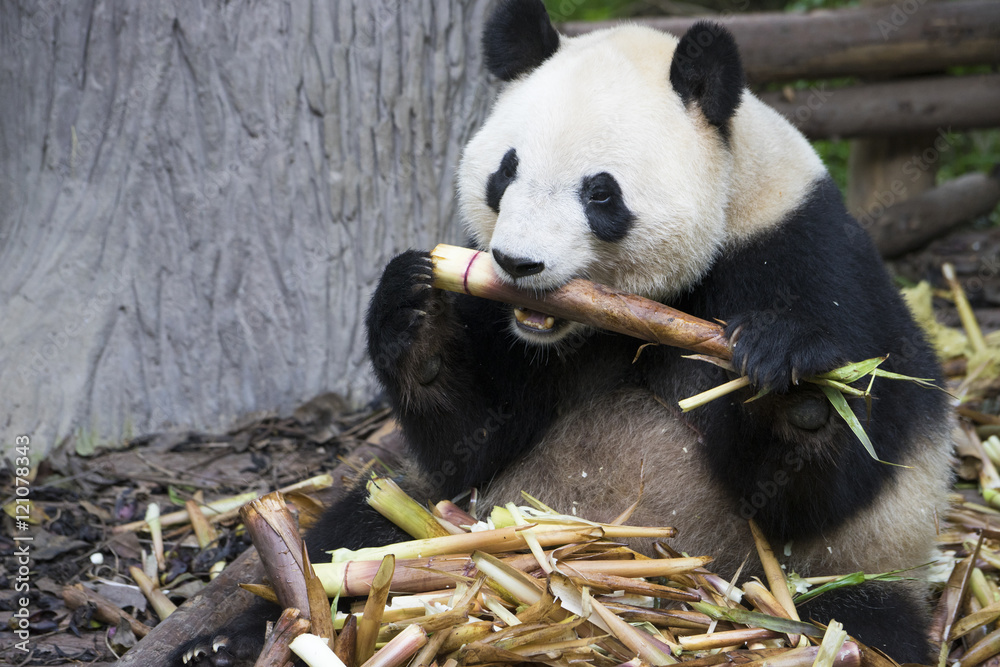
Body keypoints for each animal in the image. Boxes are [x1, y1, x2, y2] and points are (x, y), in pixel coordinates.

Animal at [177, 1, 953, 665]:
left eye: (600, 192)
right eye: (505, 171)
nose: (518, 264)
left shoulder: (801, 251)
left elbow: (829, 479)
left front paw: (794, 381)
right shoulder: (497, 327)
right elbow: (470, 437)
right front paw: (412, 312)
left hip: (848, 570)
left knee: (861, 622)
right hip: (453, 521)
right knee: (356, 543)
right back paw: (228, 640)